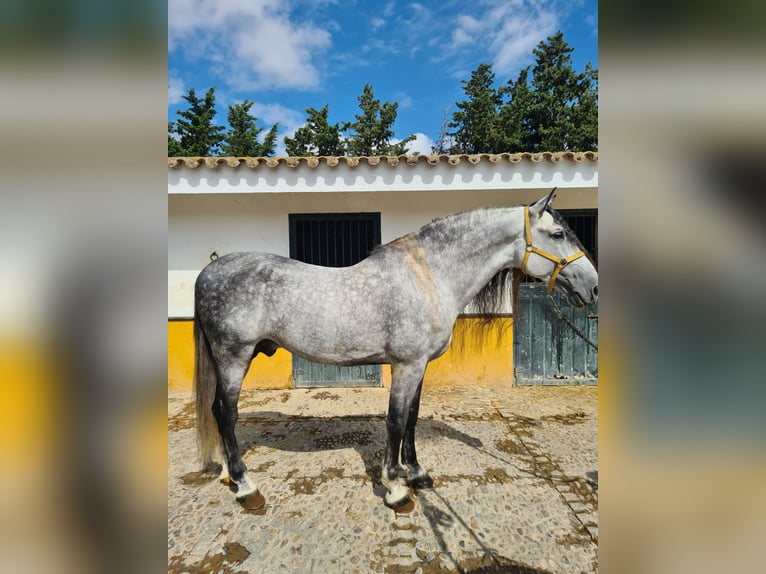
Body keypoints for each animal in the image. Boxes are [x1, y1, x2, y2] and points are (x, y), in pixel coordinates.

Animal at [192, 191, 600, 510]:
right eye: (559, 233)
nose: (594, 287)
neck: (428, 277)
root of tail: (207, 273)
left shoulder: (419, 366)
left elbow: (412, 419)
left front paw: (416, 473)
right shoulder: (406, 365)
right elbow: (395, 421)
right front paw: (395, 488)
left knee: (219, 413)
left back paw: (229, 474)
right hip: (234, 357)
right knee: (225, 412)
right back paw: (247, 487)